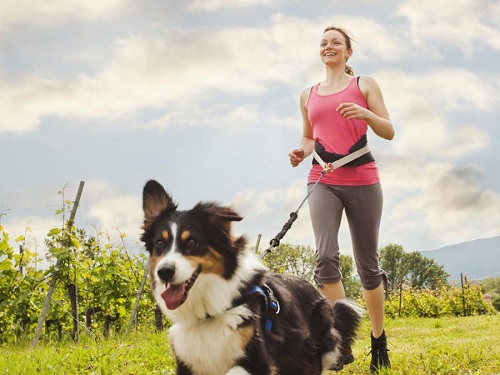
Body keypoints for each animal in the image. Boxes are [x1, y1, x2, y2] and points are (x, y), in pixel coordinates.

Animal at [141, 181, 364, 374]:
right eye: (160, 243)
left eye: (193, 242)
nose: (164, 272)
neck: (209, 313)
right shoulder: (188, 360)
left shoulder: (257, 360)